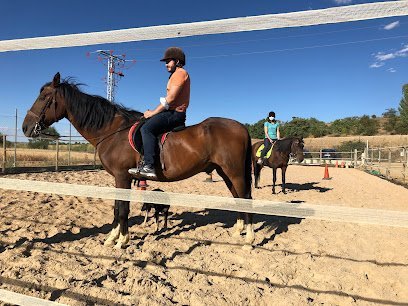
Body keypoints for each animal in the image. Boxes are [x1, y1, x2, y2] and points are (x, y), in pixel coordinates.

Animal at [22, 73, 255, 249]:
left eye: (44, 97)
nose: (25, 127)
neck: (112, 131)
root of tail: (241, 127)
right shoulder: (119, 179)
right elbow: (117, 208)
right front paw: (112, 238)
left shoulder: (122, 176)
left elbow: (123, 210)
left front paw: (122, 241)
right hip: (226, 173)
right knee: (238, 198)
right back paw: (238, 232)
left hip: (234, 172)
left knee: (246, 198)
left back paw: (249, 240)